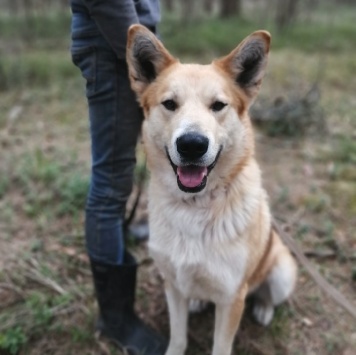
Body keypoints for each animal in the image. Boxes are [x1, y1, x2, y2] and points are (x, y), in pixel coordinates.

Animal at [126, 25, 298, 355]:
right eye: (170, 104)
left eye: (218, 105)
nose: (192, 144)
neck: (194, 207)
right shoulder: (173, 284)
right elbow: (178, 338)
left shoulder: (232, 299)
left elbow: (221, 345)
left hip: (282, 272)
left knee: (267, 294)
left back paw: (264, 309)